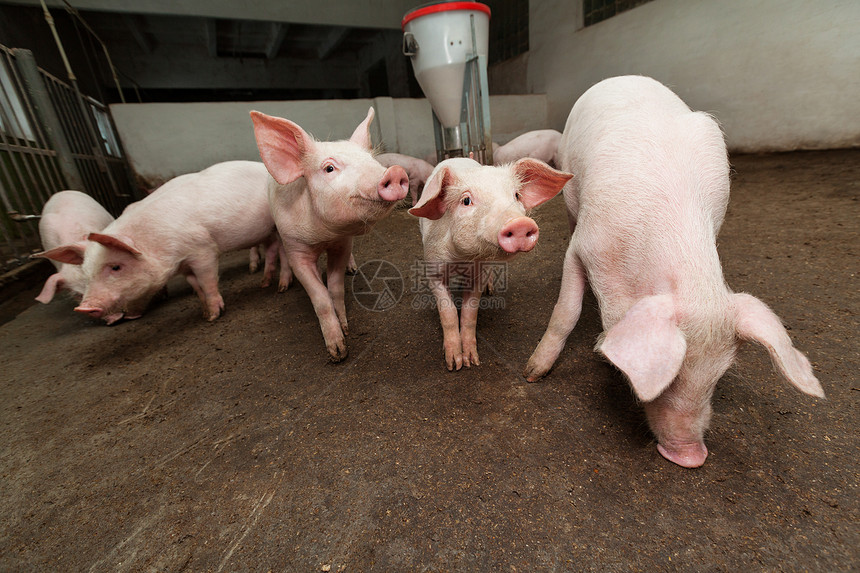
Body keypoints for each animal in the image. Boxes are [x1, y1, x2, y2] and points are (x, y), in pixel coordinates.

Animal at [72, 160, 284, 322]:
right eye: (86, 274)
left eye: (116, 267)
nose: (83, 308)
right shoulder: (184, 265)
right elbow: (196, 285)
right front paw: (205, 314)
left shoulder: (203, 250)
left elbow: (207, 282)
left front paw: (214, 317)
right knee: (271, 249)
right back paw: (264, 283)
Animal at [250, 105, 408, 360]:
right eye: (329, 168)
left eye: (371, 160)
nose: (394, 171)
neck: (323, 237)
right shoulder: (296, 248)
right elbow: (320, 296)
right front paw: (337, 353)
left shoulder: (342, 243)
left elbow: (335, 288)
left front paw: (345, 328)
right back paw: (283, 285)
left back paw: (353, 270)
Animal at [410, 156, 572, 370]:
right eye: (466, 201)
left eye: (517, 195)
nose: (520, 223)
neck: (462, 259)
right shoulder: (433, 270)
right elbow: (448, 313)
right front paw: (454, 365)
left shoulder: (480, 272)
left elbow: (470, 314)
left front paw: (472, 361)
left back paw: (490, 290)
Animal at [520, 76, 824, 466]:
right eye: (672, 376)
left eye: (718, 377)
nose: (692, 456)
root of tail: (625, 76)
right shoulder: (584, 246)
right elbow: (565, 312)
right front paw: (533, 374)